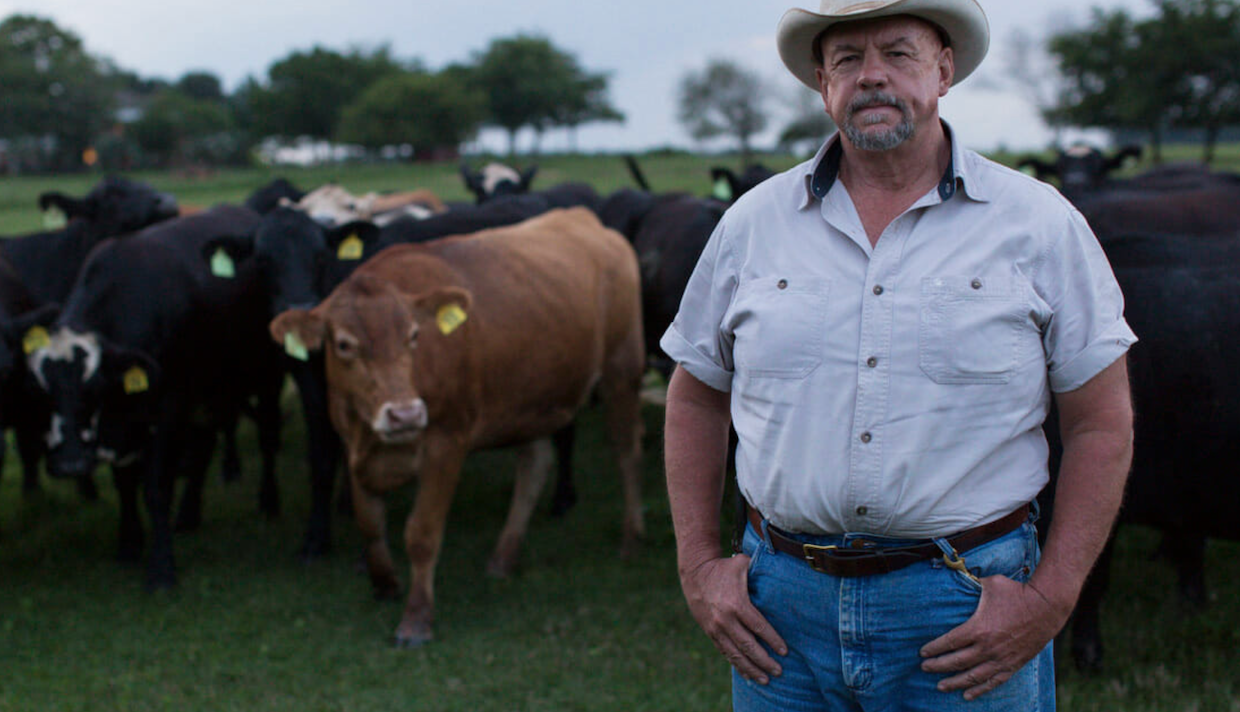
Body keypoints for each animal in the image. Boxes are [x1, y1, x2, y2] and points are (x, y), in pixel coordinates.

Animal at [26, 204, 283, 585]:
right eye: (42, 391)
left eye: (94, 386)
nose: (71, 462)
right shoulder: (126, 425)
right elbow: (124, 484)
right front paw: (129, 543)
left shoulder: (166, 411)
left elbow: (155, 487)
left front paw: (161, 569)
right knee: (204, 446)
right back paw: (189, 514)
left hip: (264, 378)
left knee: (266, 437)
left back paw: (268, 501)